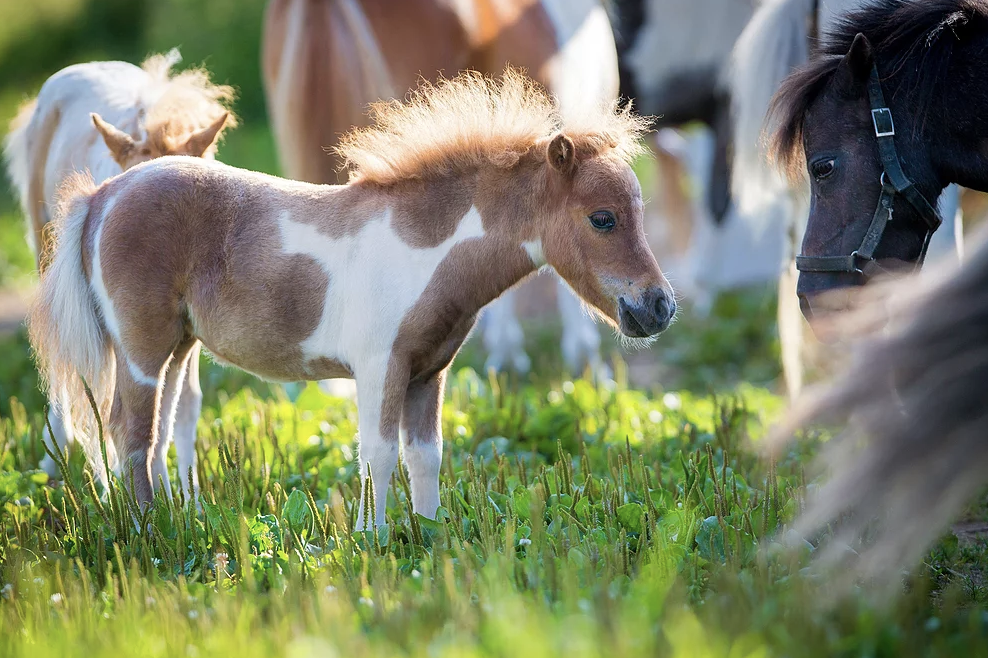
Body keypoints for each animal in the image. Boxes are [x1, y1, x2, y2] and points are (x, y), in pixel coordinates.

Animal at [32, 70, 680, 524]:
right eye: (602, 218)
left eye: (639, 212)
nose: (659, 306)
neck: (422, 247)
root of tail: (103, 195)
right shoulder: (379, 366)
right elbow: (377, 453)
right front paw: (374, 542)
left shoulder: (429, 372)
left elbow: (425, 455)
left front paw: (429, 534)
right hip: (140, 348)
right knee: (128, 432)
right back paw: (150, 532)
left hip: (179, 348)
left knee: (159, 432)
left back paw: (176, 520)